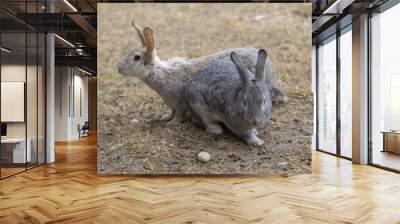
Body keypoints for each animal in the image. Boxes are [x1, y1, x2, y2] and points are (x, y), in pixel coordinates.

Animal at [117, 20, 286, 126]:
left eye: (136, 58)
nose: (118, 67)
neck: (160, 72)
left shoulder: (179, 101)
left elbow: (179, 114)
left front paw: (171, 123)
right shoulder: (172, 103)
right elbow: (171, 112)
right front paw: (165, 117)